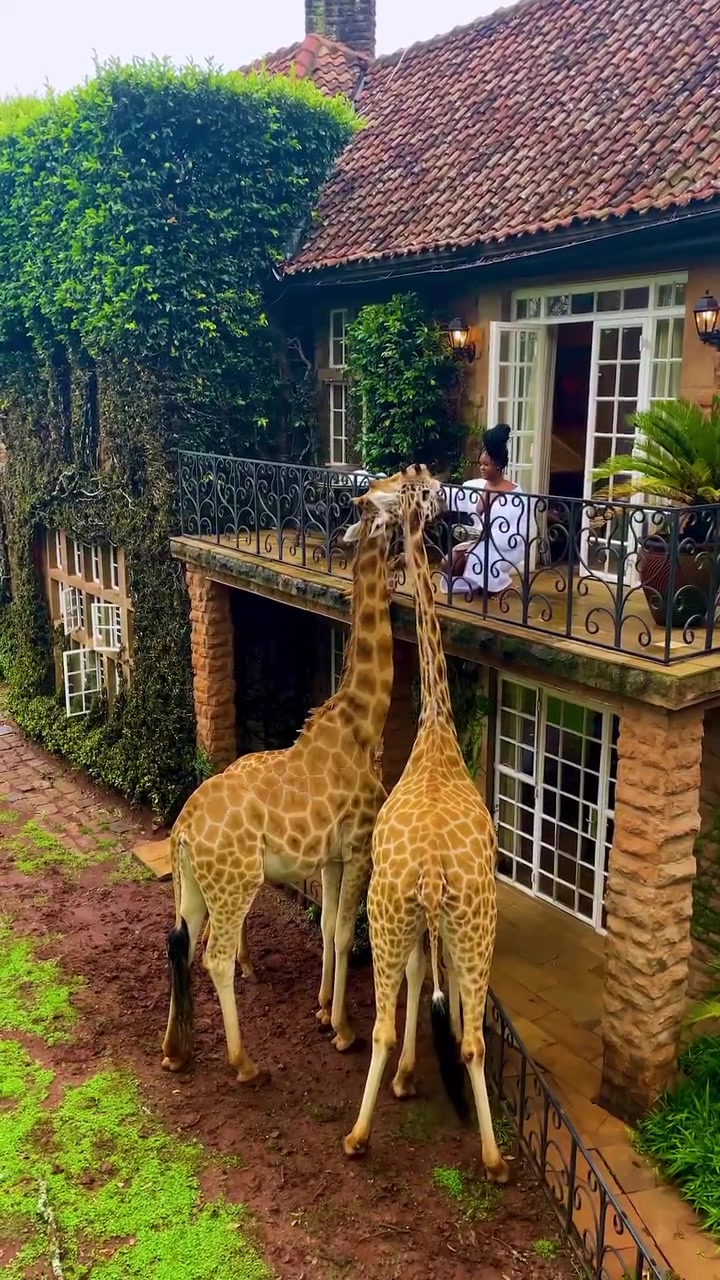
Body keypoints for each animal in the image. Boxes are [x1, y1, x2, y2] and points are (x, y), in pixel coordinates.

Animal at [161, 469, 426, 1084]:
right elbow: (347, 932)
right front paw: (345, 1028)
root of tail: (181, 829)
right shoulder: (358, 847)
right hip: (234, 881)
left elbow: (327, 926)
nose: (430, 478)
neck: (361, 719)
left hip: (195, 886)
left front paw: (323, 1009)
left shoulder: (329, 856)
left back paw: (175, 1050)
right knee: (212, 956)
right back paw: (244, 1063)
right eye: (401, 487)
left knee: (181, 944)